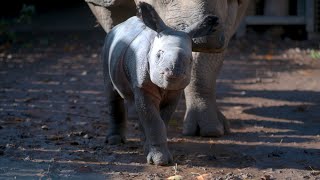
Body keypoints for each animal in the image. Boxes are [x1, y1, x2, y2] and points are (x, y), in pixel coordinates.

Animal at [101, 2, 219, 166]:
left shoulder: (174, 92)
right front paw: (160, 161)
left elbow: (161, 119)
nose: (173, 74)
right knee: (112, 93)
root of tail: (120, 25)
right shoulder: (142, 86)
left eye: (190, 60)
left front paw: (151, 150)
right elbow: (153, 120)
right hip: (107, 45)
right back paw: (114, 141)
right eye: (158, 55)